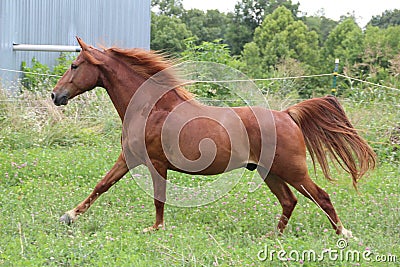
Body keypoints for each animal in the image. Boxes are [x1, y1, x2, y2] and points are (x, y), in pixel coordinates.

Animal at [52, 37, 376, 237]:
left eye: (74, 66)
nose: (55, 95)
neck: (153, 108)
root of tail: (287, 115)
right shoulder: (129, 158)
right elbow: (101, 185)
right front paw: (69, 216)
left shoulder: (156, 163)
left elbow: (158, 198)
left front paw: (155, 229)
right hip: (269, 172)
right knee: (289, 201)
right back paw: (273, 236)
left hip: (292, 170)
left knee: (320, 196)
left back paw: (344, 234)